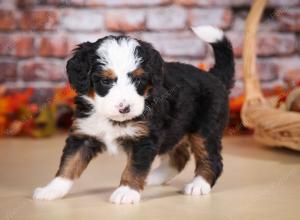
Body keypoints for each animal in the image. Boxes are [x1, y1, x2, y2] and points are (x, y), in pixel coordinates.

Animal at [32, 25, 234, 205]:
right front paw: (52, 189)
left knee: (212, 159)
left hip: (206, 129)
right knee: (179, 157)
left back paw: (199, 185)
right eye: (105, 81)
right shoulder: (84, 135)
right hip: (176, 128)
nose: (125, 108)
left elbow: (134, 167)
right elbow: (69, 163)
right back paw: (156, 177)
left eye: (138, 79)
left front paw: (126, 192)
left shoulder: (144, 139)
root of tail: (214, 76)